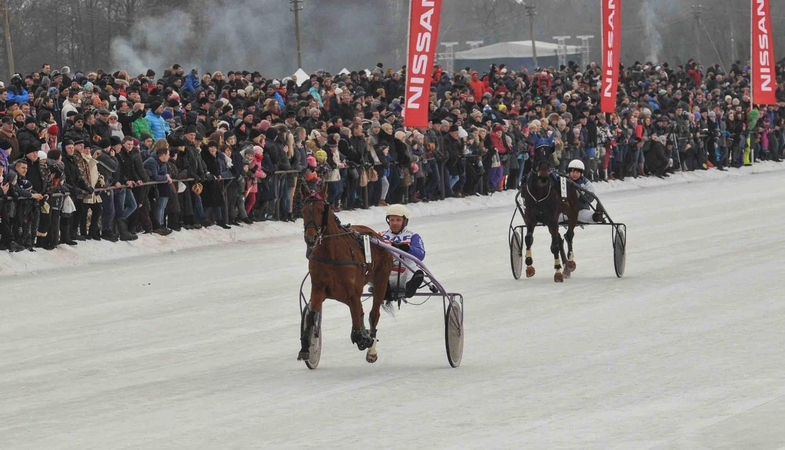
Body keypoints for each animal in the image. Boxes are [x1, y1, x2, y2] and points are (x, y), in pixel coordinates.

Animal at [298, 183, 392, 362]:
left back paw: (371, 348)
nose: (310, 238)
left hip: (381, 280)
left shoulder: (353, 293)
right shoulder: (319, 288)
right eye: (303, 210)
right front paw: (306, 347)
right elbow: (311, 315)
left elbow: (357, 327)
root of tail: (377, 236)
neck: (332, 253)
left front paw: (365, 339)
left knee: (373, 314)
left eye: (321, 210)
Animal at [524, 144, 580, 282]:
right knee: (561, 239)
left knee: (569, 235)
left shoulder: (553, 219)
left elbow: (554, 246)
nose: (544, 172)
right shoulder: (530, 218)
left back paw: (570, 263)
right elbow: (528, 239)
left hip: (573, 213)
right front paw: (529, 266)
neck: (539, 191)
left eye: (550, 154)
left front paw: (558, 272)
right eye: (537, 153)